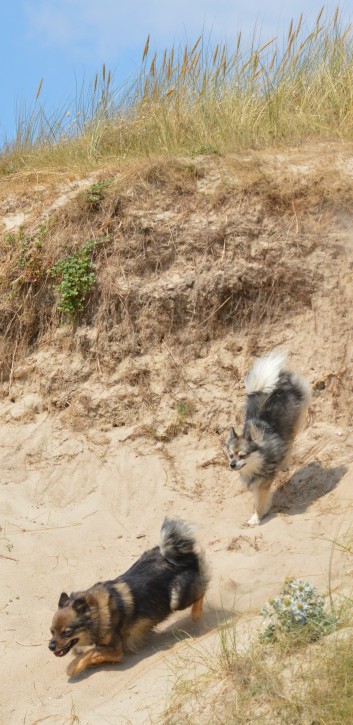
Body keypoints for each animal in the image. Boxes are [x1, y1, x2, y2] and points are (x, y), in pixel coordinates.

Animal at [49, 516, 209, 676]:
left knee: (201, 590)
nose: (51, 646)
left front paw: (73, 666)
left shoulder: (115, 648)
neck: (97, 611)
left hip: (177, 600)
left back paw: (196, 613)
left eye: (67, 633)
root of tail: (178, 554)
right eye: (52, 631)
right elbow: (94, 653)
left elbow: (91, 653)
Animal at [226, 350, 310, 524]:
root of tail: (281, 382)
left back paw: (284, 462)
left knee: (290, 442)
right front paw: (263, 511)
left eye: (242, 455)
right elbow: (259, 500)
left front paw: (257, 518)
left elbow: (259, 502)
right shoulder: (255, 483)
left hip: (292, 423)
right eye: (230, 455)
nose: (232, 464)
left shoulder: (262, 482)